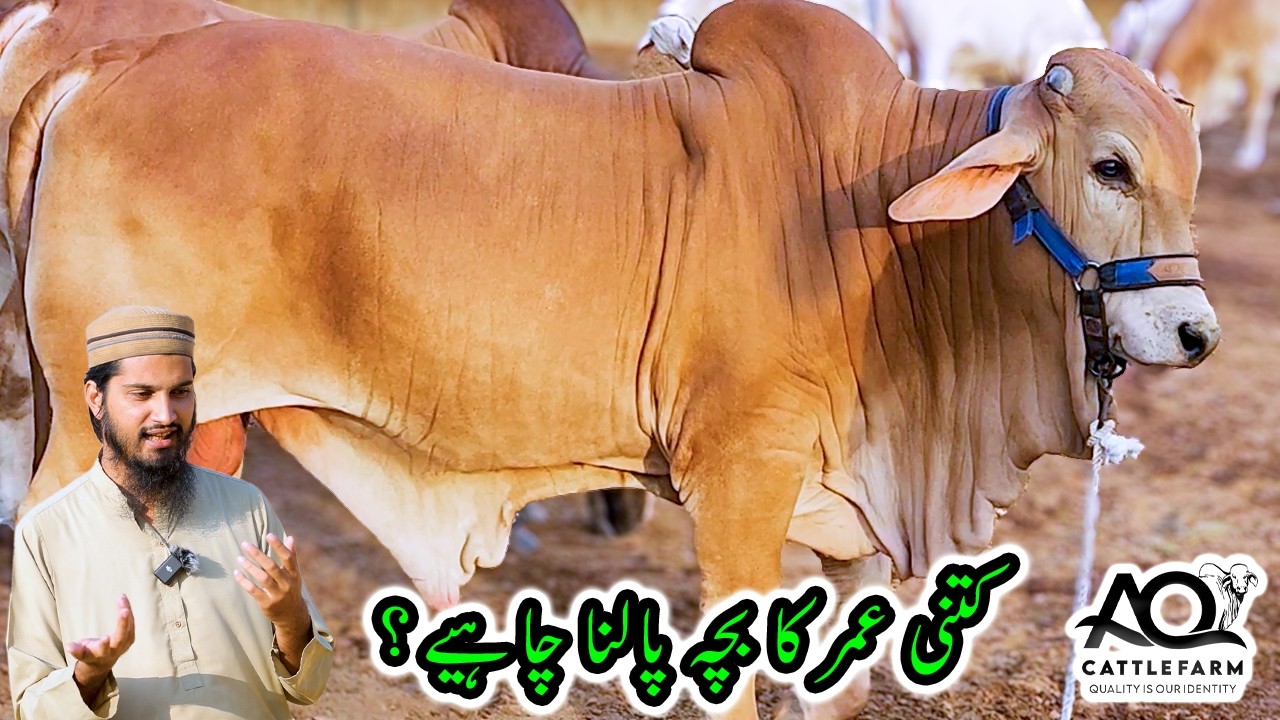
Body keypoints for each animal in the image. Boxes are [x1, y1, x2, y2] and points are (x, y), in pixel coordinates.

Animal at [7, 0, 1218, 715]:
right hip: (93, 431)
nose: (1192, 331)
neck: (875, 219)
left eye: (1191, 167)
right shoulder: (739, 484)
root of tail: (105, 64)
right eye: (1109, 166)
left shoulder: (845, 519)